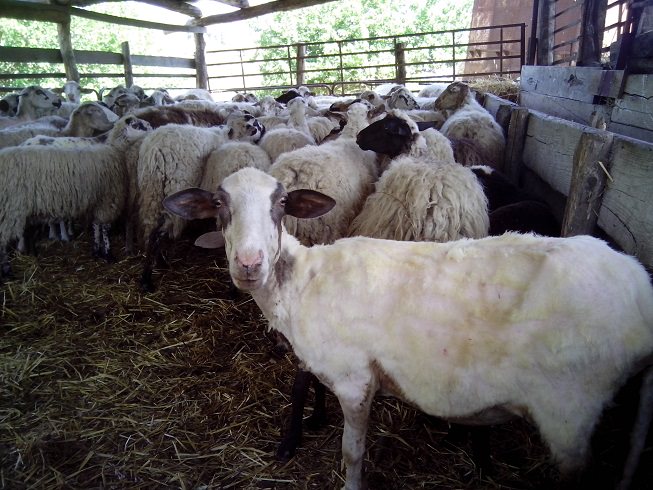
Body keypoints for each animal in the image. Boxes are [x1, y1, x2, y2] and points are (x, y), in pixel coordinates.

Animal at [0, 112, 152, 278]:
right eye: (137, 125)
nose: (153, 128)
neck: (114, 150)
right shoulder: (107, 199)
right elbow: (105, 228)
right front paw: (108, 254)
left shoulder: (97, 200)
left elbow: (96, 225)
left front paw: (96, 251)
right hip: (11, 208)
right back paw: (7, 270)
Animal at [162, 167, 652, 490]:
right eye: (220, 204)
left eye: (281, 204)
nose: (249, 264)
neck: (302, 281)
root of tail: (638, 286)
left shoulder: (355, 381)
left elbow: (352, 453)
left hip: (570, 409)